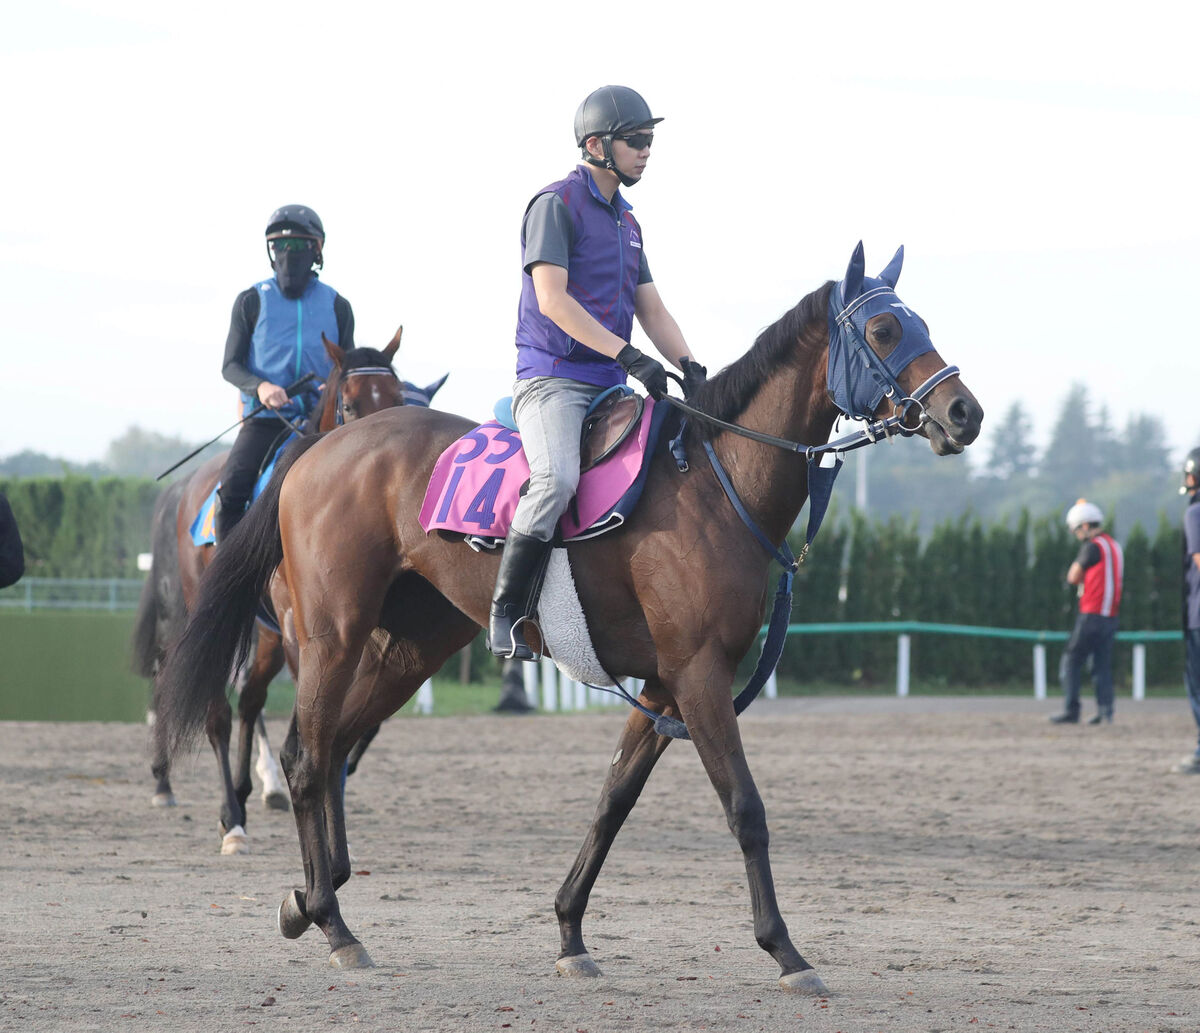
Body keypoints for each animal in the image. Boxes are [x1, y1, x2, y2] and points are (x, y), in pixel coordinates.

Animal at [136, 326, 412, 849]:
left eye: (398, 397)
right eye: (349, 404)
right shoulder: (305, 631)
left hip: (263, 637)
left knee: (249, 700)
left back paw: (250, 792)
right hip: (211, 614)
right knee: (214, 710)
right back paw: (229, 816)